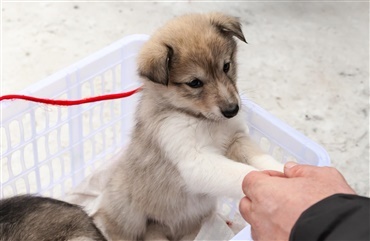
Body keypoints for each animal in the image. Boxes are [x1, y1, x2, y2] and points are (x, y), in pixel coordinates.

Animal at [98, 13, 284, 241]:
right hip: (127, 211)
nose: (232, 110)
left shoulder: (236, 138)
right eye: (194, 82)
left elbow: (259, 157)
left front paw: (282, 170)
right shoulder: (194, 160)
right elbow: (242, 173)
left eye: (226, 66)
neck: (203, 119)